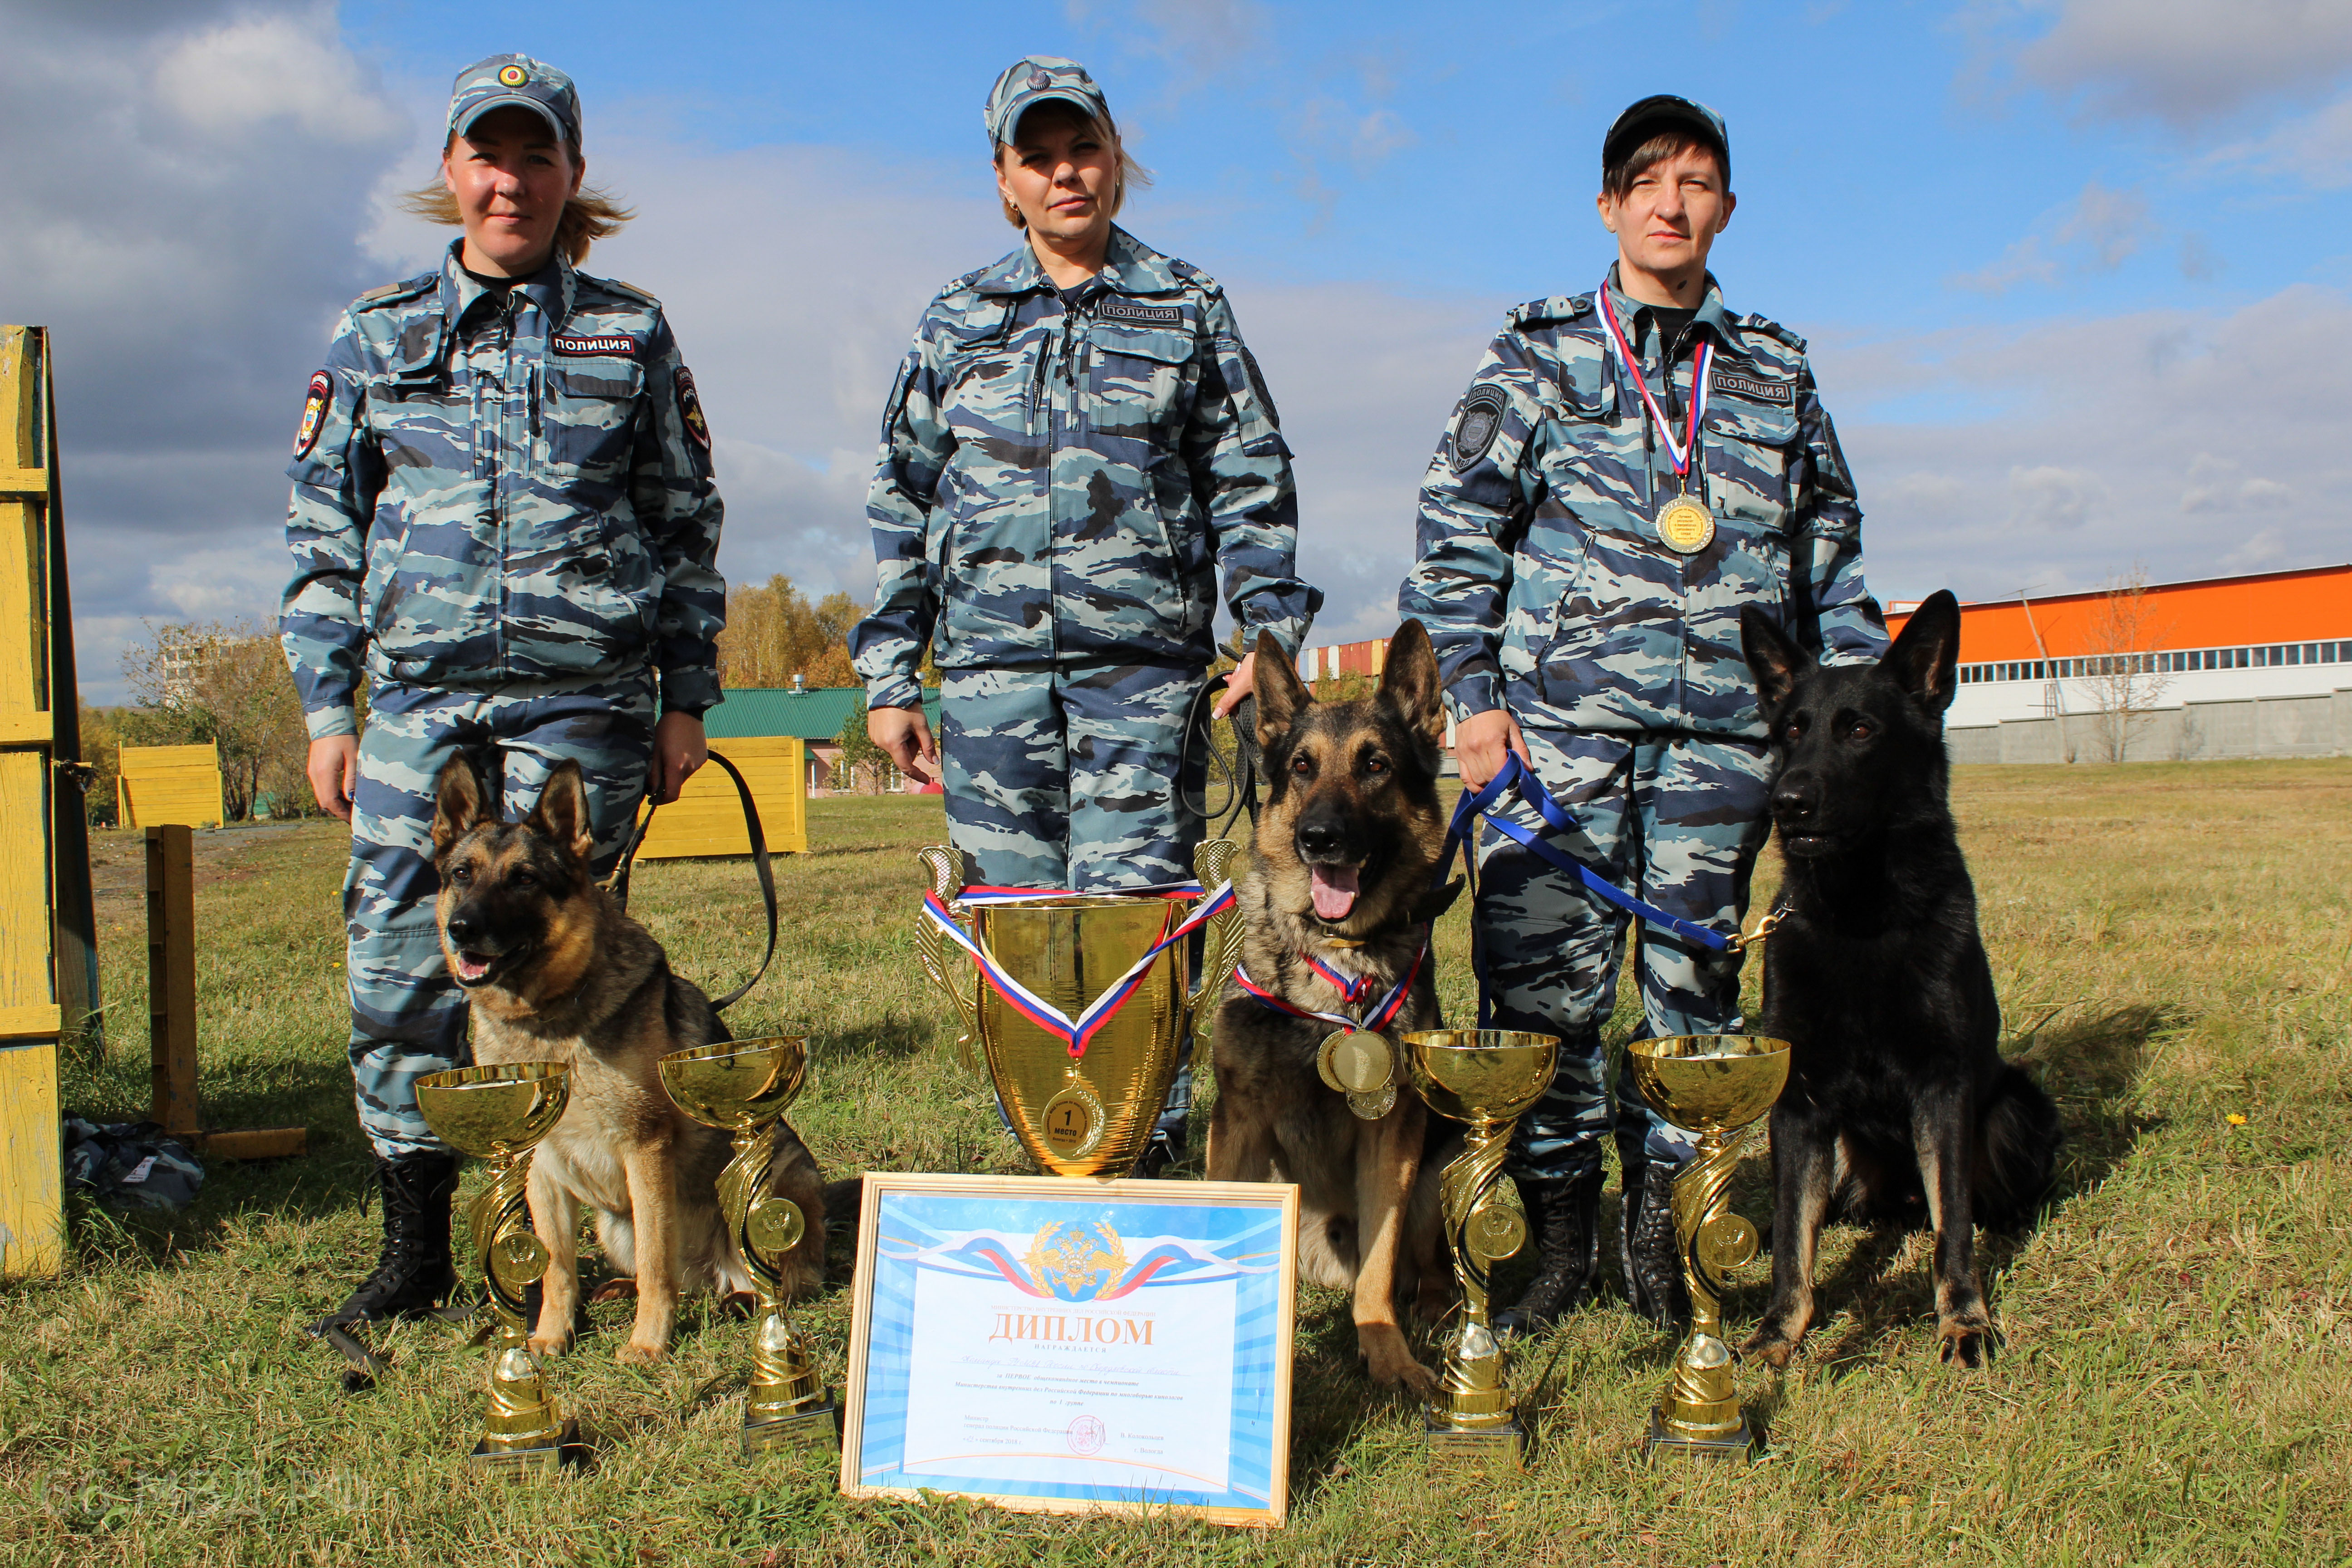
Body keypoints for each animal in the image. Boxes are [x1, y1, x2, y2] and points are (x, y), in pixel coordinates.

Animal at [432, 761, 828, 1363]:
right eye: (462, 874)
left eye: (524, 879)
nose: (463, 929)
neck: (552, 1019)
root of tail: (714, 1271)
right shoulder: (538, 1168)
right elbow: (556, 1269)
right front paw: (548, 1338)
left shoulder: (644, 1149)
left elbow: (655, 1259)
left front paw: (647, 1343)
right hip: (610, 1223)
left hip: (778, 1175)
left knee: (766, 1279)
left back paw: (743, 1300)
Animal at [1204, 620, 1458, 1392]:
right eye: (1302, 768)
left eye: (1374, 765)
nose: (1319, 839)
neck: (1334, 955)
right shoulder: (1238, 1120)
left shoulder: (1393, 1135)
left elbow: (1380, 1264)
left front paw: (1387, 1354)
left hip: (1439, 1168)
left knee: (1424, 1266)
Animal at [1731, 594, 2060, 1363]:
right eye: (1792, 731)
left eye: (1860, 730)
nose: (1786, 801)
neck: (1861, 915)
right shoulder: (1800, 1101)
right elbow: (1793, 1243)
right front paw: (1778, 1333)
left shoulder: (1943, 1087)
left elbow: (1955, 1229)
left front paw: (1965, 1320)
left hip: (2014, 1108)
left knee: (1971, 1203)